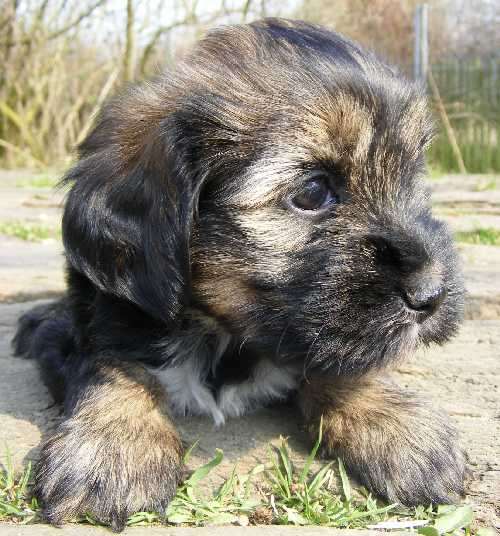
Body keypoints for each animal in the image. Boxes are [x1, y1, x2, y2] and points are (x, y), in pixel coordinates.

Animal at [13, 16, 466, 532]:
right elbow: (110, 364)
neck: (226, 334)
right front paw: (113, 447)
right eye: (313, 191)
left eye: (412, 178)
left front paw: (396, 424)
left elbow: (340, 365)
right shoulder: (104, 316)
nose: (431, 294)